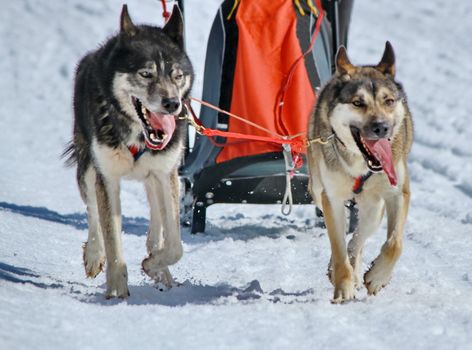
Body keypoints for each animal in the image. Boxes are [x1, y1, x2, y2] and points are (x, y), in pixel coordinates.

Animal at [64, 4, 194, 298]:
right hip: (87, 167)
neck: (139, 136)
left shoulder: (166, 173)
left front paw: (153, 264)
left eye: (177, 75)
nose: (172, 103)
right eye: (146, 74)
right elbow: (111, 237)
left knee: (157, 221)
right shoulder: (107, 178)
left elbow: (175, 244)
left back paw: (161, 270)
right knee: (92, 210)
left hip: (157, 177)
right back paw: (94, 254)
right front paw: (116, 290)